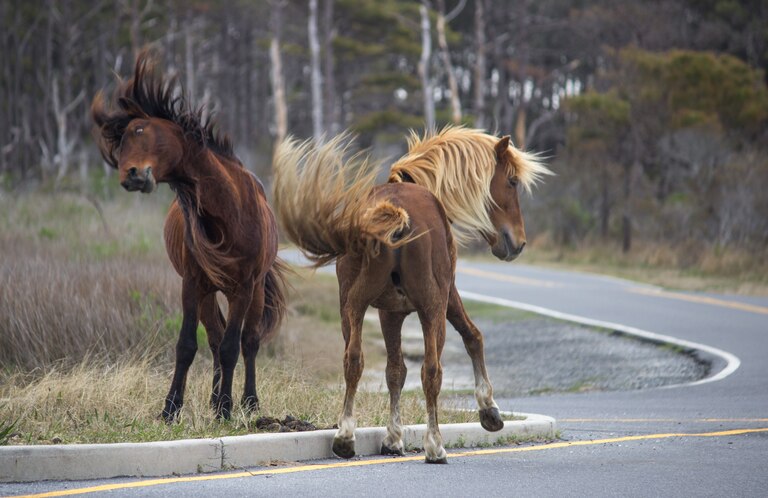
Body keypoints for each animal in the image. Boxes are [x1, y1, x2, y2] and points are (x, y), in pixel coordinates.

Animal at [92, 50, 287, 421]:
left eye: (141, 130)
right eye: (121, 141)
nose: (131, 175)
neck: (229, 213)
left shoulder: (243, 286)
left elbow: (233, 346)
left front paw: (226, 410)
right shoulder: (193, 283)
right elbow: (187, 345)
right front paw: (171, 409)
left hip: (254, 291)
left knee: (249, 341)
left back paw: (248, 402)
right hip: (210, 292)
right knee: (214, 337)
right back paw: (215, 398)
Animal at [272, 127, 550, 463]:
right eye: (511, 181)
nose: (517, 242)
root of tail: (395, 215)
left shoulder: (389, 312)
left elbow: (395, 371)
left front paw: (393, 438)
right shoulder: (446, 295)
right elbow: (472, 337)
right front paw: (489, 410)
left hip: (351, 305)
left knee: (353, 359)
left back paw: (345, 436)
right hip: (431, 307)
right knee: (432, 370)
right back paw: (435, 445)